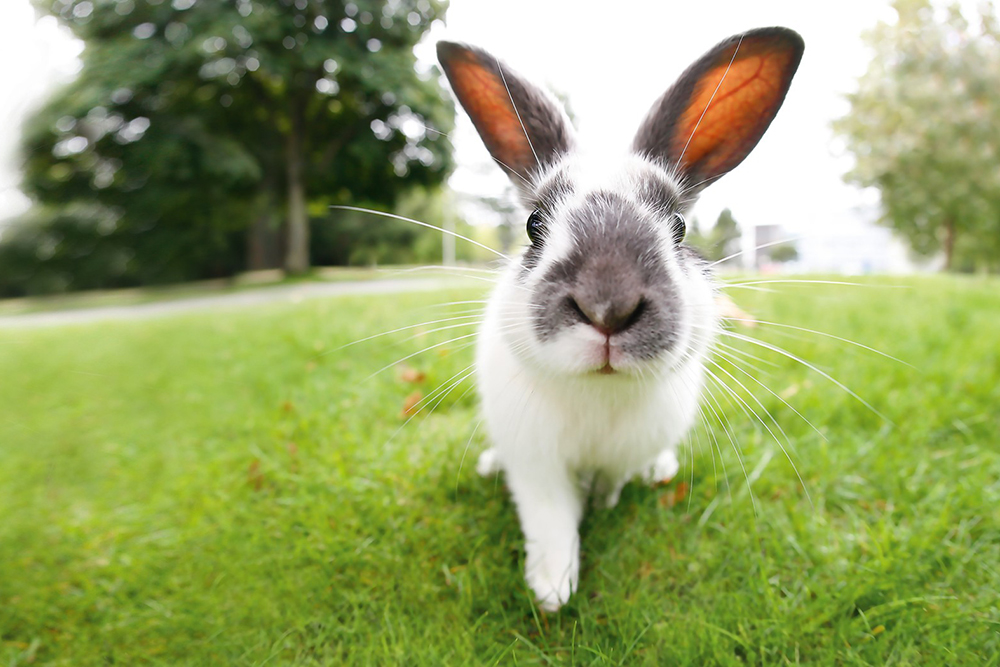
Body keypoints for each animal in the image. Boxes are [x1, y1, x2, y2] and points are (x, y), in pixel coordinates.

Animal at [438, 27, 804, 612]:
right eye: (534, 225)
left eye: (679, 227)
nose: (607, 306)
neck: (599, 392)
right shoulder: (537, 466)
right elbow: (552, 521)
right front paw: (552, 589)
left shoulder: (620, 455)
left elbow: (609, 485)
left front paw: (602, 508)